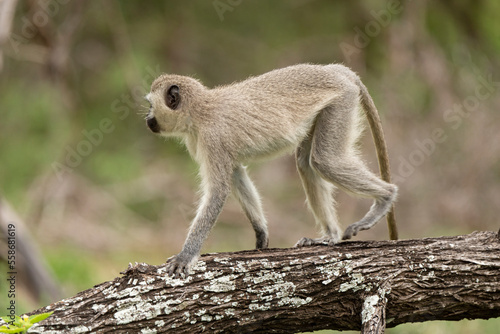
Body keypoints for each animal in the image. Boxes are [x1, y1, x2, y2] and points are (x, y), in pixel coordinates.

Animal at [146, 62, 398, 276]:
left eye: (150, 105)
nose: (147, 118)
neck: (198, 110)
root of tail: (333, 69)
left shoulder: (212, 139)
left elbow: (218, 192)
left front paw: (185, 256)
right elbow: (236, 174)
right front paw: (261, 233)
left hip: (341, 100)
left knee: (326, 161)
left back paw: (386, 197)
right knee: (306, 163)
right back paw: (330, 236)